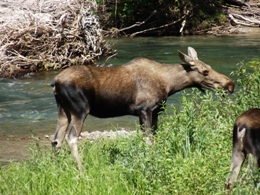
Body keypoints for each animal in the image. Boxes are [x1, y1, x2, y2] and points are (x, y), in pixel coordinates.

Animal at [50, 46, 234, 171]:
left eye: (209, 67)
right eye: (205, 71)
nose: (229, 84)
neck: (170, 84)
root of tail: (56, 82)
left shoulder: (156, 111)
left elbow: (155, 138)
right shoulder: (145, 109)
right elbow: (149, 141)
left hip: (63, 110)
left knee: (56, 139)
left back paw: (56, 168)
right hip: (80, 110)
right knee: (71, 138)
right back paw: (82, 170)